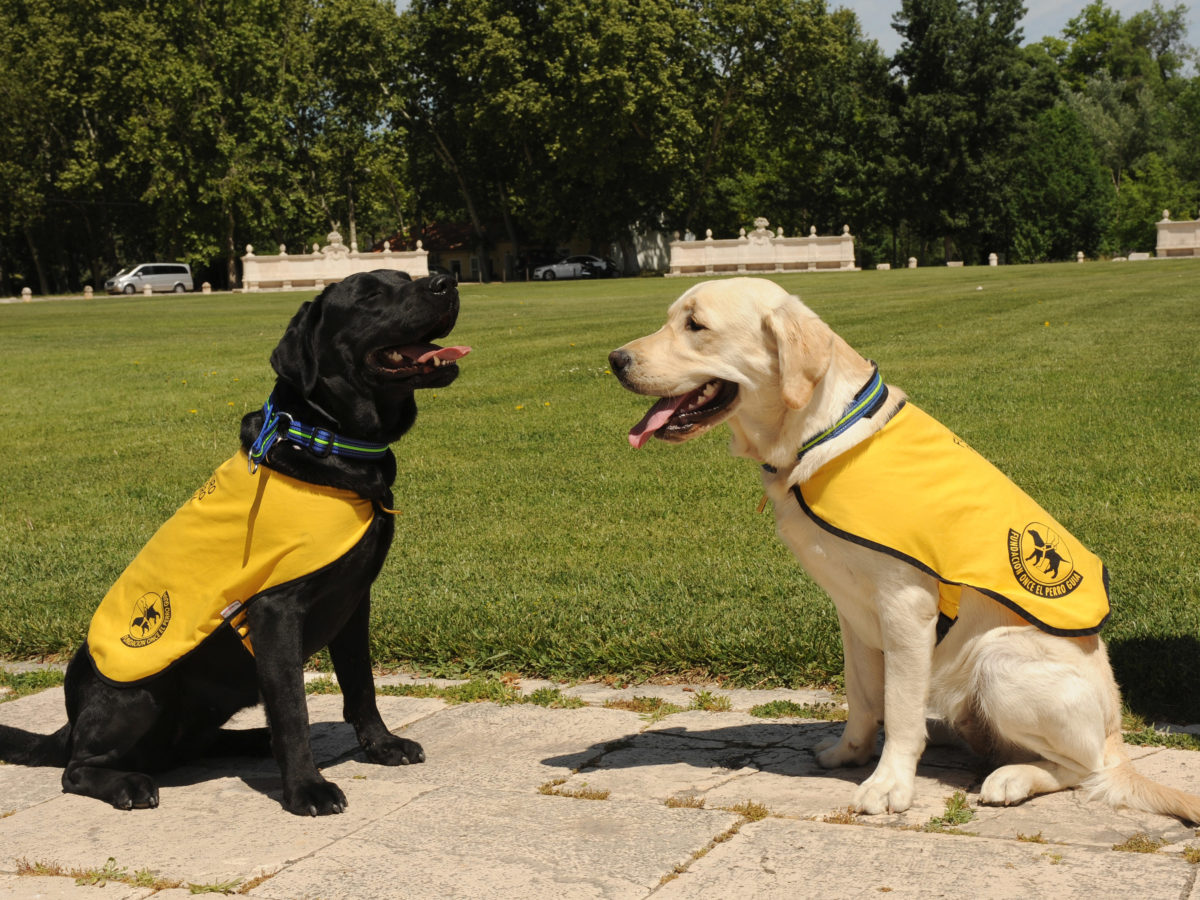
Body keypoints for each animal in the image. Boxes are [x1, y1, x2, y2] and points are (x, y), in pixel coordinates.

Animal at [0, 267, 468, 816]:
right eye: (370, 295)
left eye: (406, 277)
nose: (445, 282)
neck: (326, 439)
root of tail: (70, 722)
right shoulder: (274, 612)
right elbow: (292, 709)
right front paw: (306, 789)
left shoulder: (354, 601)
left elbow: (361, 684)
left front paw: (382, 745)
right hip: (140, 693)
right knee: (76, 769)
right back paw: (127, 784)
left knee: (192, 747)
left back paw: (251, 741)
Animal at [609, 278, 1200, 820]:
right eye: (670, 319)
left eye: (696, 325)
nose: (615, 360)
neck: (819, 433)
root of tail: (1118, 736)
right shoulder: (851, 611)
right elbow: (864, 697)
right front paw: (848, 754)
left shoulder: (905, 607)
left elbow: (898, 709)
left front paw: (889, 784)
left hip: (999, 659)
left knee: (1085, 770)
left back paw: (1014, 778)